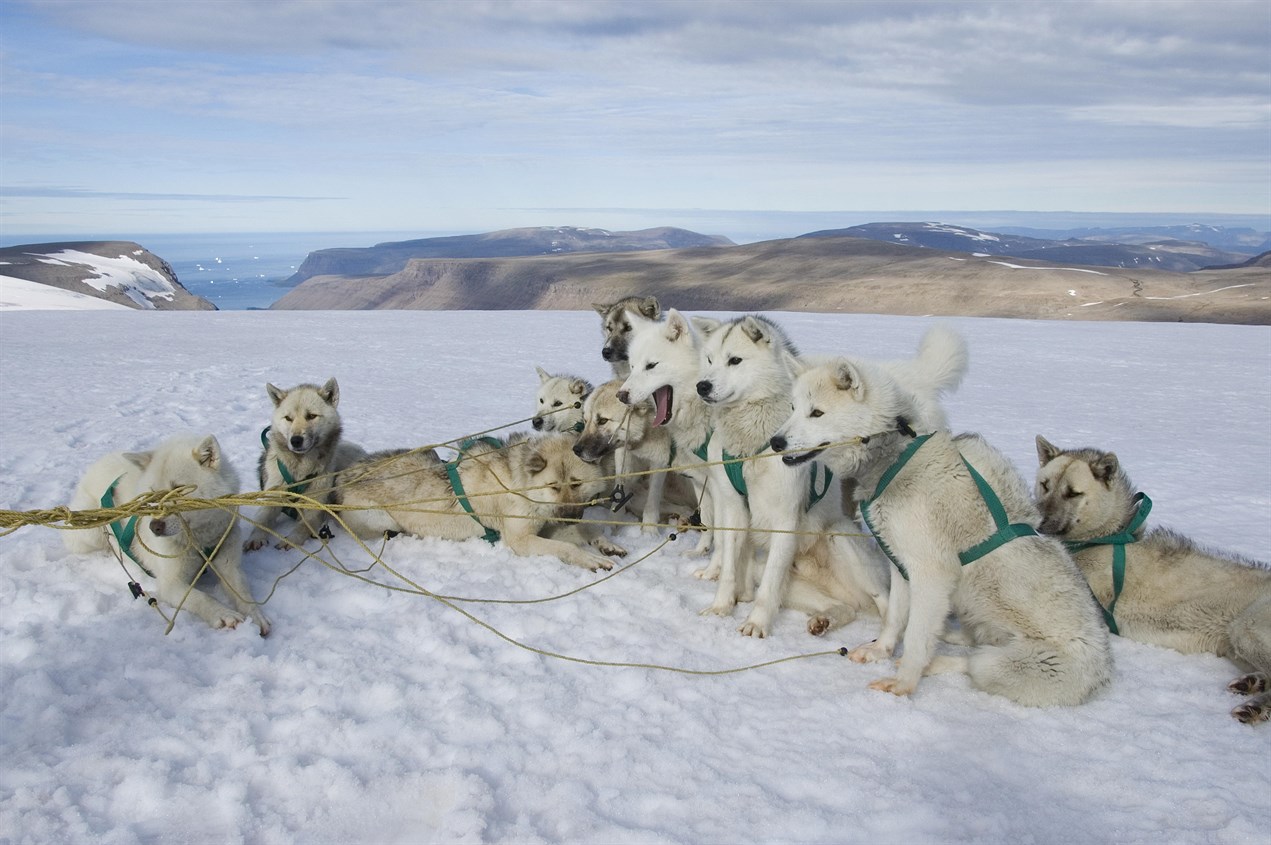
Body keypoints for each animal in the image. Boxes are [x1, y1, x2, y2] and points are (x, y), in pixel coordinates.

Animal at [63, 434, 270, 632]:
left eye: (179, 489)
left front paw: (255, 616)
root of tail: (95, 466)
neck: (199, 541)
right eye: (153, 492)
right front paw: (224, 614)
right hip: (93, 532)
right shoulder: (170, 584)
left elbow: (242, 593)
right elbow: (202, 598)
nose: (154, 526)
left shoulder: (230, 566)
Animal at [246, 376, 368, 551]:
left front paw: (291, 540)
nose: (296, 440)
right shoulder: (273, 496)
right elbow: (262, 520)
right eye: (288, 418)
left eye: (311, 416)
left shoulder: (313, 508)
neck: (300, 470)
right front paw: (256, 537)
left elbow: (303, 526)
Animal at [330, 432, 622, 569]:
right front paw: (591, 559)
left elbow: (587, 530)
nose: (569, 516)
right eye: (553, 487)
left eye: (576, 483)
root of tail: (341, 477)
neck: (518, 484)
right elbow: (568, 548)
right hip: (382, 521)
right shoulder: (520, 539)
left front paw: (606, 545)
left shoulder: (547, 524)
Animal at [1037, 437, 1265, 721]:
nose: (1037, 522)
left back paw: (1256, 705)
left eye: (1073, 493)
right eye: (1044, 485)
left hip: (1247, 630)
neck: (1102, 539)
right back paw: (1254, 684)